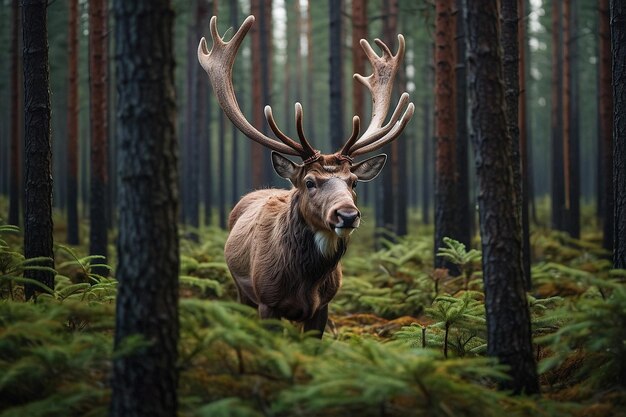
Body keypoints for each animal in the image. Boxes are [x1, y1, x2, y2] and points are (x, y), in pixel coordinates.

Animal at [199, 15, 414, 338]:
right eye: (310, 182)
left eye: (353, 182)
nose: (347, 214)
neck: (305, 282)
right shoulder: (267, 303)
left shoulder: (322, 307)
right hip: (241, 289)